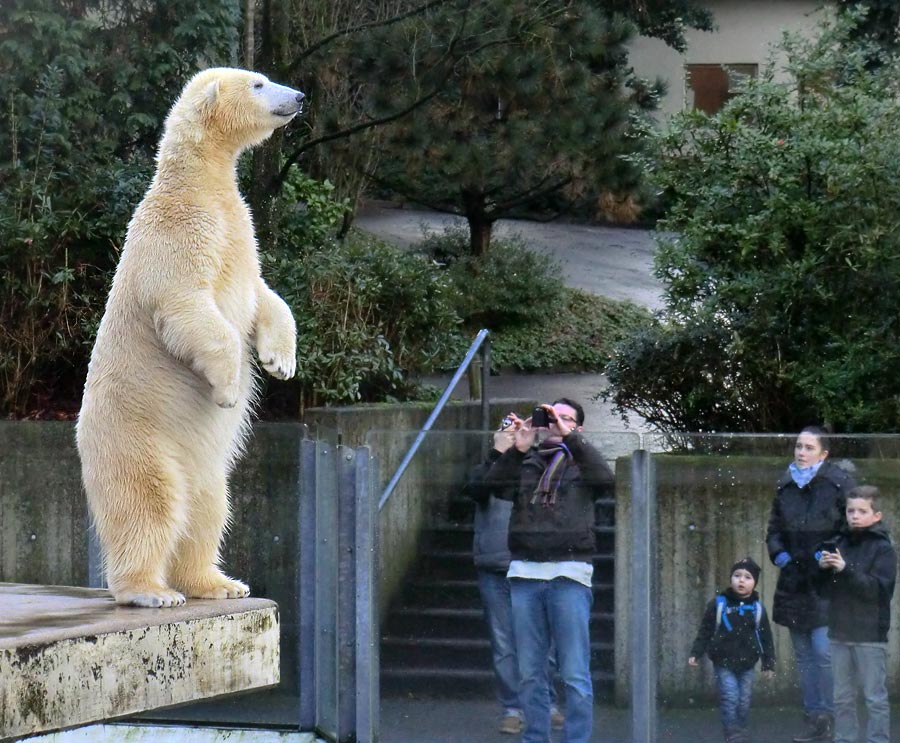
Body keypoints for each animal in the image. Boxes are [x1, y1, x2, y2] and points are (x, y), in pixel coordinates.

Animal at [76, 67, 306, 608]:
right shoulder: (179, 233)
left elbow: (263, 295)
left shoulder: (240, 233)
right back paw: (150, 591)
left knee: (209, 507)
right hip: (136, 438)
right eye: (259, 83)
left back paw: (219, 583)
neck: (200, 185)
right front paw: (227, 389)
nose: (299, 96)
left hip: (204, 464)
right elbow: (186, 304)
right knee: (150, 502)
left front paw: (281, 361)